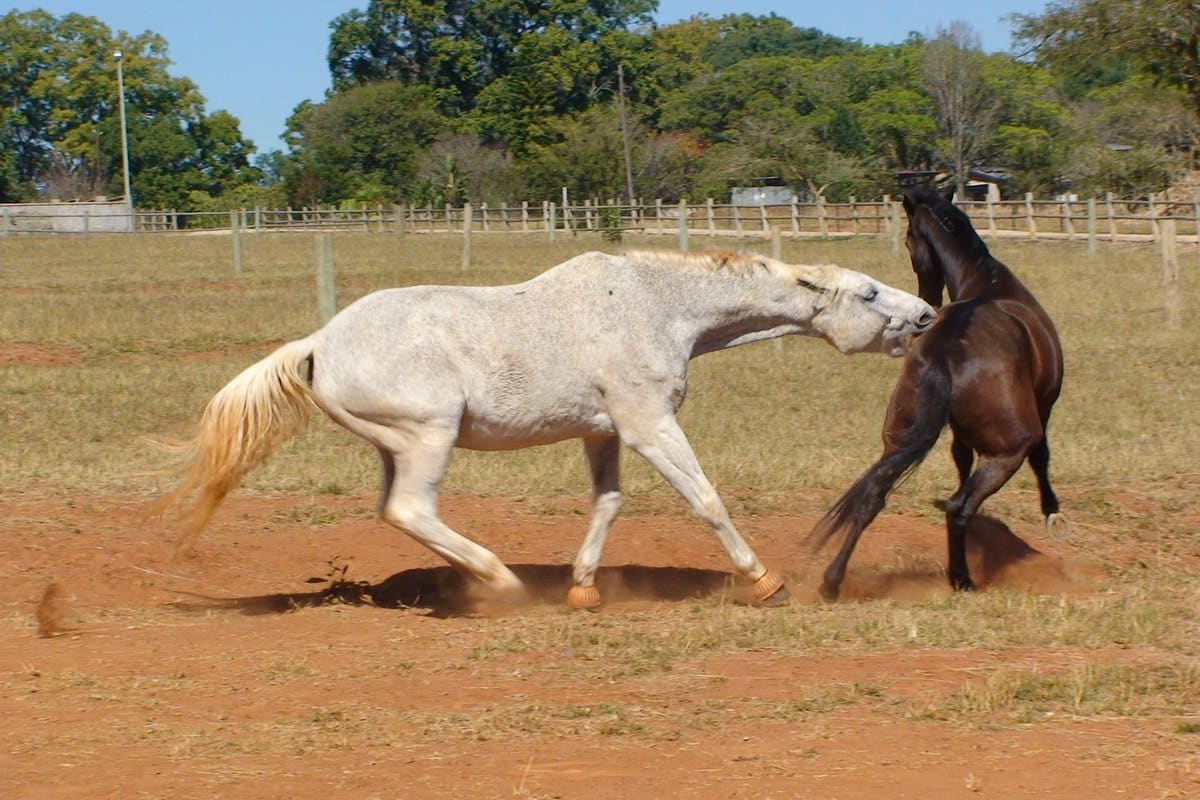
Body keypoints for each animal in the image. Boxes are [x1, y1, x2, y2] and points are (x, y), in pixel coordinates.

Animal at [151, 248, 935, 609]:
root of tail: (319, 342)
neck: (658, 307)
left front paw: (584, 588)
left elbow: (608, 503)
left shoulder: (604, 432)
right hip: (430, 435)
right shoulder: (649, 425)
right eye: (870, 293)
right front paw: (765, 579)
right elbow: (706, 499)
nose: (927, 314)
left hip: (394, 445)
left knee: (395, 512)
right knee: (411, 510)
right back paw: (502, 583)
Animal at [809, 184, 1066, 601]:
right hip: (1007, 452)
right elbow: (1042, 457)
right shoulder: (1044, 406)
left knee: (873, 495)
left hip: (897, 441)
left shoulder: (958, 431)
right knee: (960, 507)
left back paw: (832, 581)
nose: (927, 304)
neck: (988, 280)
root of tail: (946, 350)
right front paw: (1052, 512)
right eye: (910, 241)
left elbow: (960, 459)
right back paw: (961, 578)